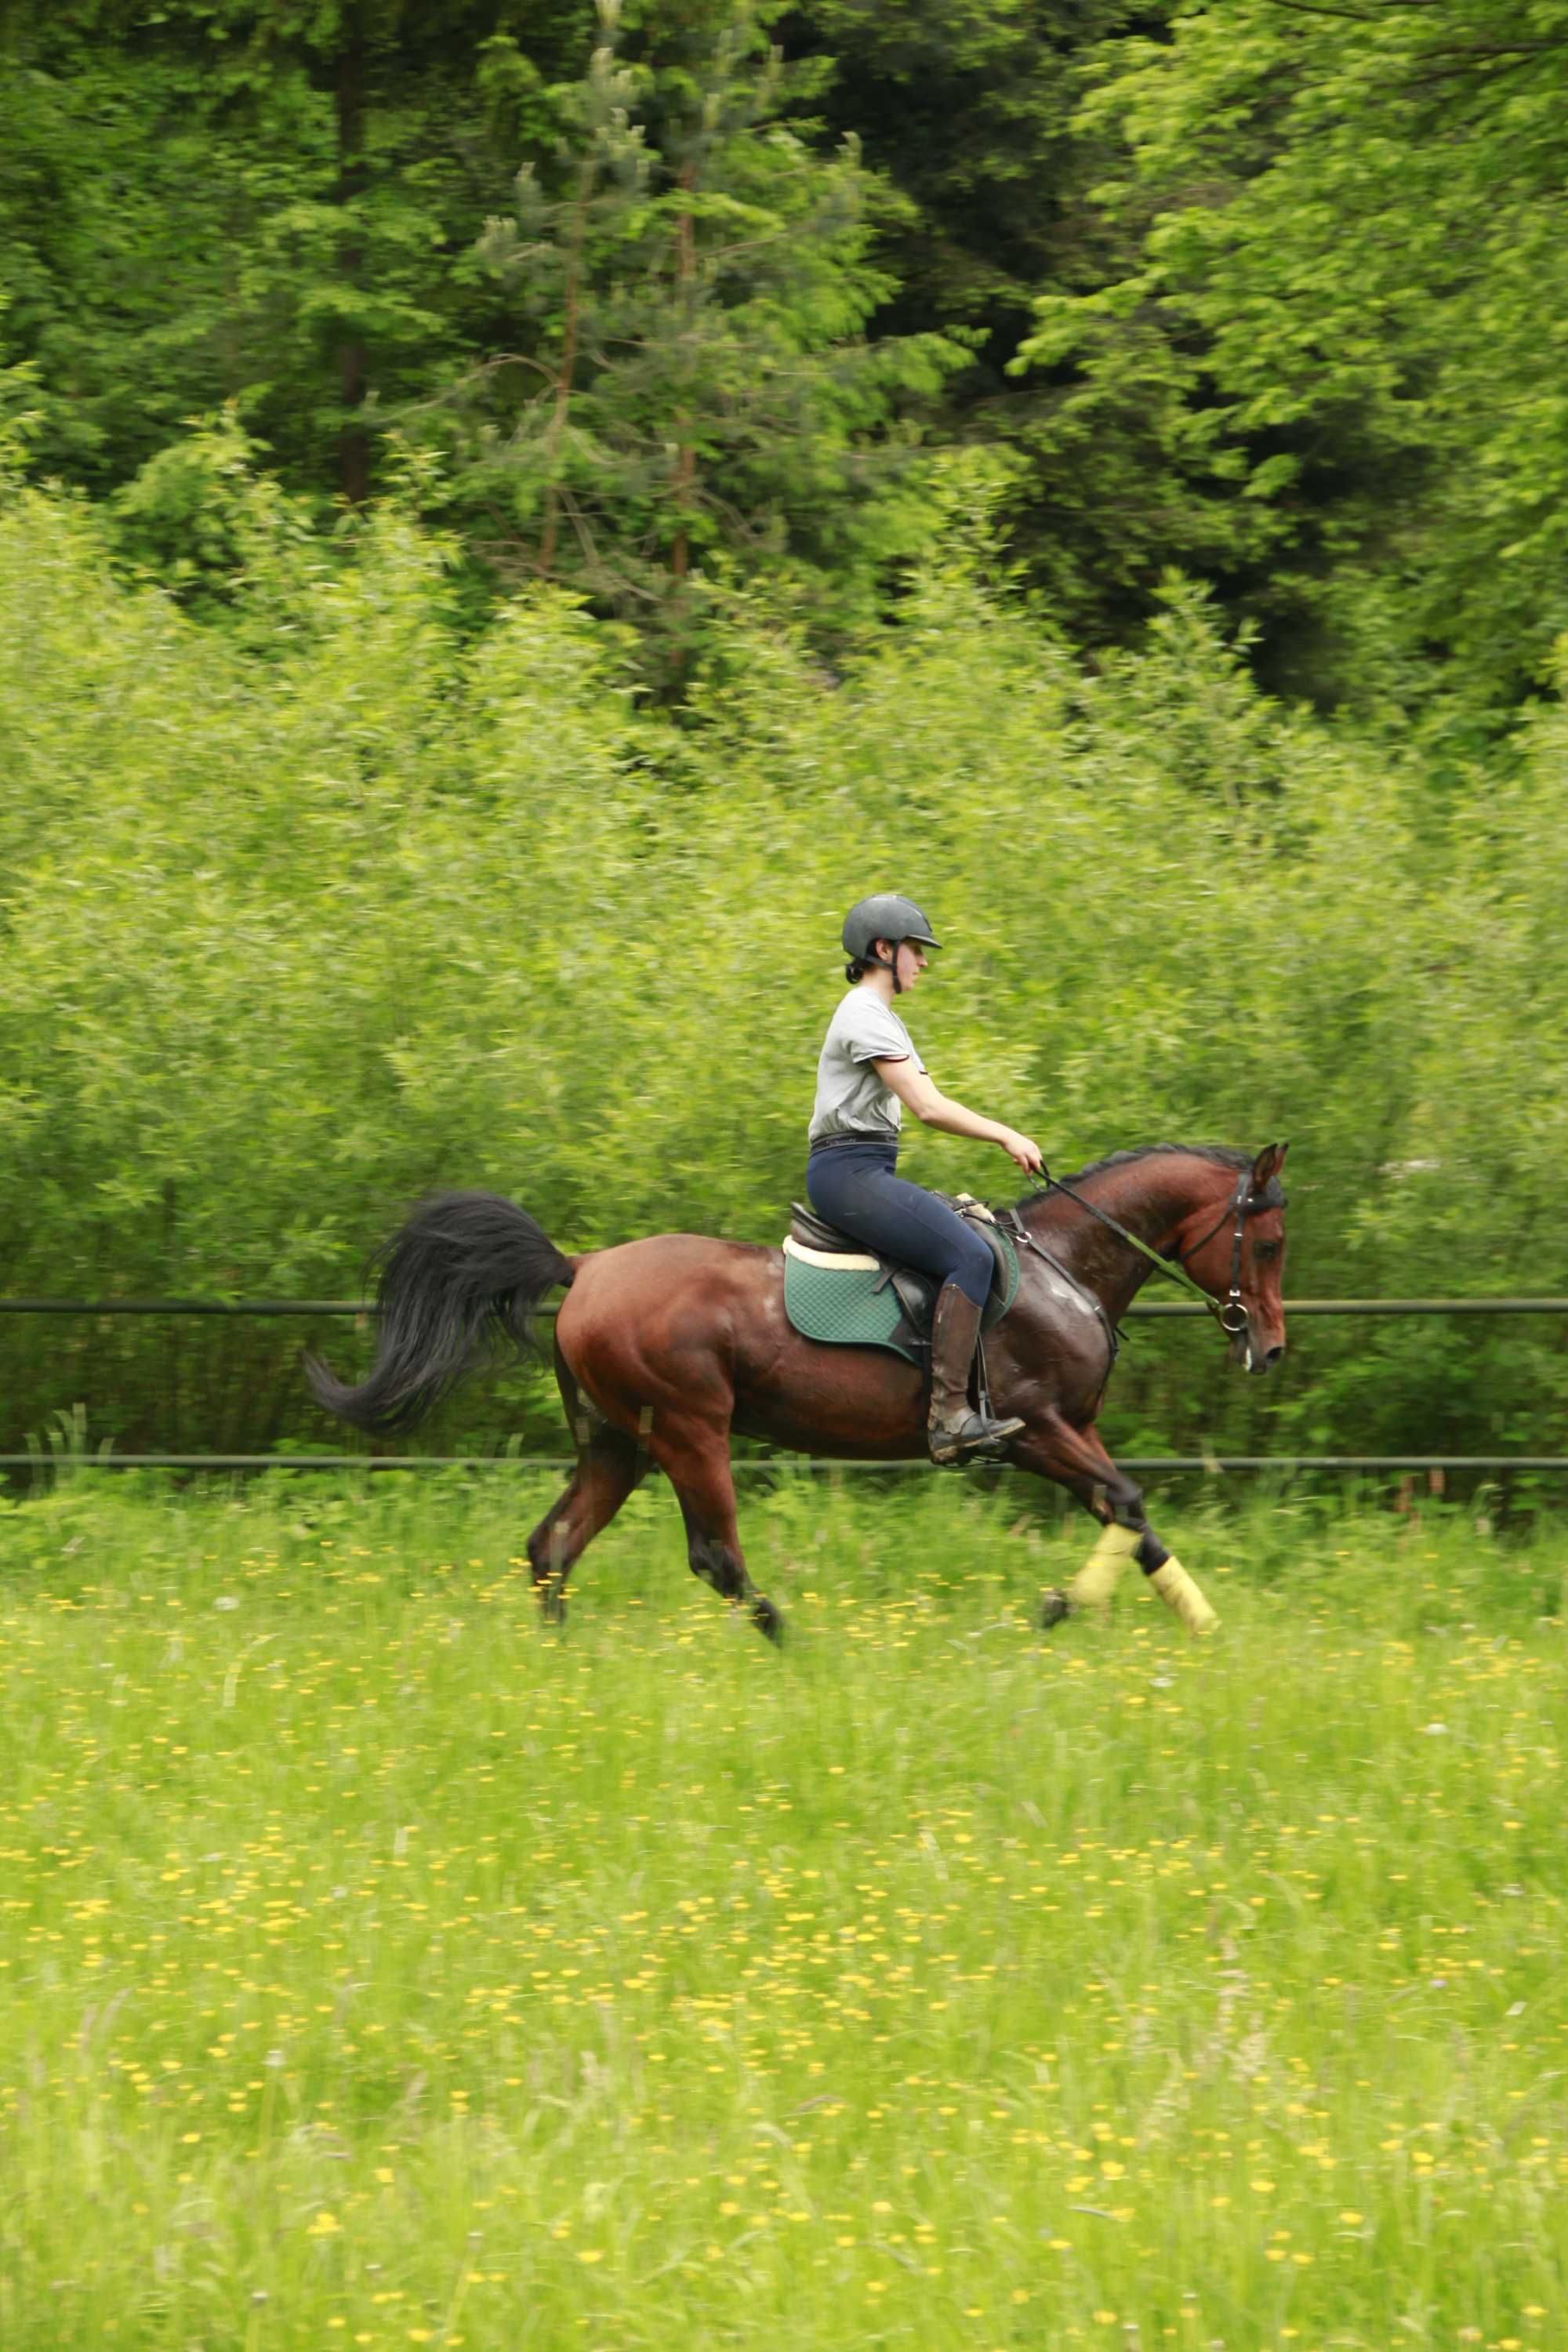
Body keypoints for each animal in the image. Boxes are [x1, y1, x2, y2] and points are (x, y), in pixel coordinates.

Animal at [305, 1138, 1288, 1637]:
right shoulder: (1035, 1430)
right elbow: (1125, 1504)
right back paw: (790, 1642)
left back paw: (560, 1662)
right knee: (713, 1556)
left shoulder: (1068, 1433)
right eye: (1270, 1242)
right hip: (691, 1431)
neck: (1063, 1268)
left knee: (553, 1545)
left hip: (617, 1443)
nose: (1270, 1349)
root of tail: (582, 1267)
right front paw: (1059, 1608)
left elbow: (1135, 1518)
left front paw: (1201, 1626)